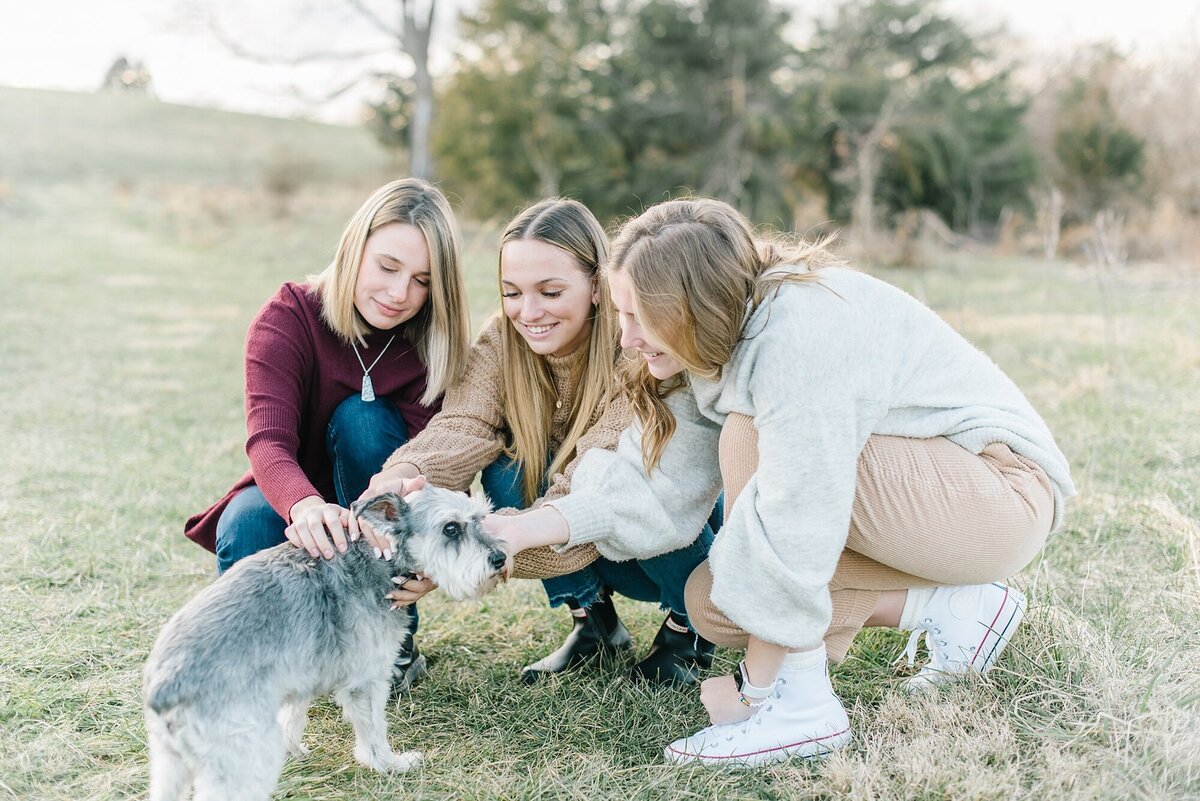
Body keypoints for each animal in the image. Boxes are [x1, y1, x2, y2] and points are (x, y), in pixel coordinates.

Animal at [141, 484, 506, 801]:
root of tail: (165, 685)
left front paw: (294, 749)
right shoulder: (367, 682)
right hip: (244, 756)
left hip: (170, 764)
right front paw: (388, 764)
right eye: (451, 529)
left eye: (480, 518)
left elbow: (292, 717)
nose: (500, 558)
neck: (374, 559)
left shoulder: (298, 677)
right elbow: (374, 729)